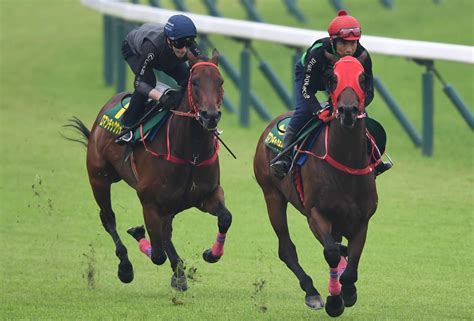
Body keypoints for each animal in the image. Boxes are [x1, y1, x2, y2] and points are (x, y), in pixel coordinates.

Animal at [68, 49, 231, 290]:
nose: (210, 115)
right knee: (108, 218)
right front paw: (138, 242)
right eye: (195, 82)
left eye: (220, 81)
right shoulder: (149, 202)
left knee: (165, 231)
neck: (190, 154)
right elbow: (158, 255)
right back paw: (126, 266)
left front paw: (211, 254)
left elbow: (225, 218)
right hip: (99, 178)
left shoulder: (207, 194)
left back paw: (178, 272)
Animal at [254, 55, 380, 316]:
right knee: (286, 249)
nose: (348, 111)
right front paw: (335, 301)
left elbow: (352, 259)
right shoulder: (316, 214)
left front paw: (348, 291)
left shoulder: (362, 219)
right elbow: (330, 252)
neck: (346, 164)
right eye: (333, 78)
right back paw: (311, 291)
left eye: (363, 78)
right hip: (272, 195)